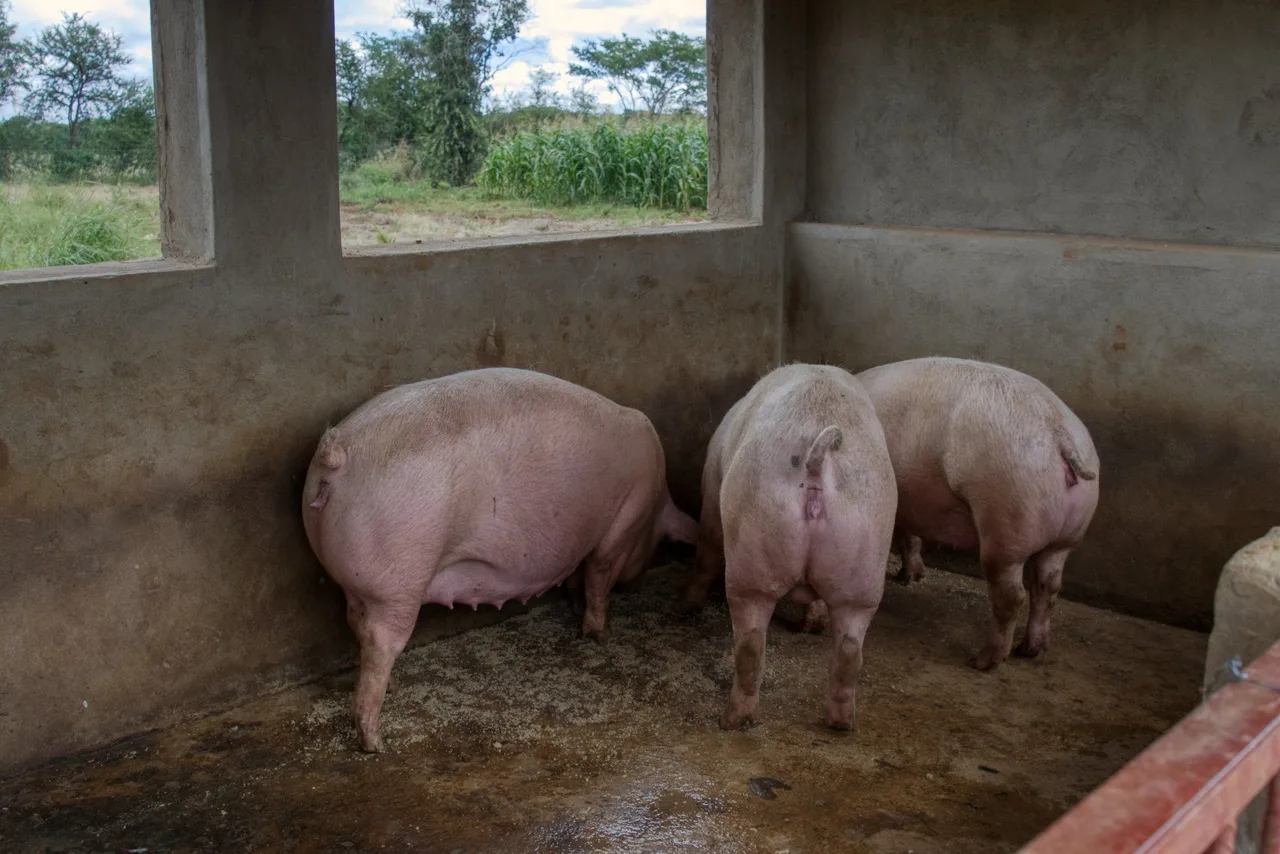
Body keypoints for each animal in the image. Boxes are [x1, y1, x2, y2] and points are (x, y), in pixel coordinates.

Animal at [301, 367, 698, 752]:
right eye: (658, 541)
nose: (638, 585)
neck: (656, 503)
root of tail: (336, 452)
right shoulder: (622, 523)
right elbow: (599, 575)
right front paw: (599, 635)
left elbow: (578, 573)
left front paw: (573, 603)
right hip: (399, 581)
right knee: (379, 639)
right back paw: (375, 743)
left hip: (357, 585)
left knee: (355, 623)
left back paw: (392, 691)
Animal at [682, 364, 897, 731]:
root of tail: (816, 461)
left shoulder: (711, 489)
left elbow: (707, 547)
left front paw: (688, 606)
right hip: (864, 555)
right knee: (850, 649)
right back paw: (841, 723)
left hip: (751, 544)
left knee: (750, 642)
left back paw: (731, 720)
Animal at [803, 357, 1100, 672]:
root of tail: (1059, 432)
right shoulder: (907, 503)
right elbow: (910, 537)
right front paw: (910, 577)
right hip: (1067, 535)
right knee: (1048, 586)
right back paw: (1030, 649)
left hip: (1006, 521)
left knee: (1012, 595)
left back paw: (982, 661)